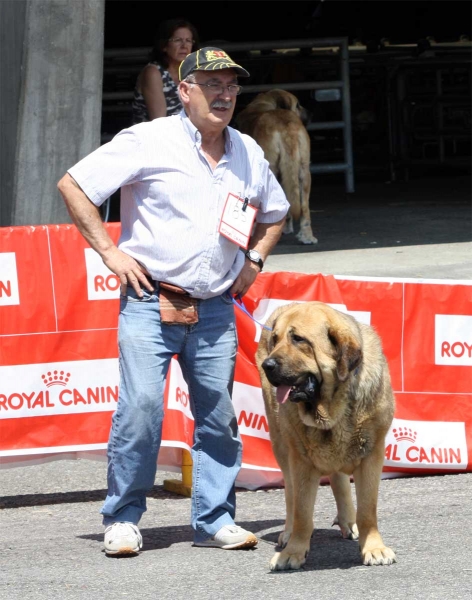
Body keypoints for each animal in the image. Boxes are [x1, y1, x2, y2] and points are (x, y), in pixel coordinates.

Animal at [235, 89, 318, 244]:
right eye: (298, 105)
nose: (311, 114)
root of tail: (286, 124)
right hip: (303, 172)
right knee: (303, 207)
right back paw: (306, 236)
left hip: (271, 168)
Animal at [256, 302, 396, 568]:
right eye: (275, 339)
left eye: (298, 339)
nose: (267, 365)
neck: (332, 409)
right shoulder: (300, 460)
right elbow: (301, 510)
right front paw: (292, 552)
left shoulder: (371, 454)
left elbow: (367, 509)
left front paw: (373, 548)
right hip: (281, 444)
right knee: (290, 494)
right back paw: (288, 533)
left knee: (339, 480)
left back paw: (348, 522)